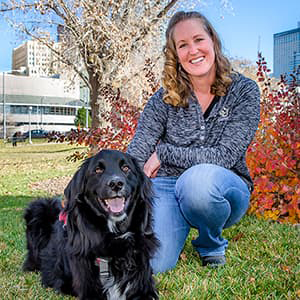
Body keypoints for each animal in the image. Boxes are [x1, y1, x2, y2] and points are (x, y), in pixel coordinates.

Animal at [23, 149, 159, 298]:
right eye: (98, 170)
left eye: (126, 168)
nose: (116, 184)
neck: (115, 236)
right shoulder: (89, 289)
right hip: (40, 208)